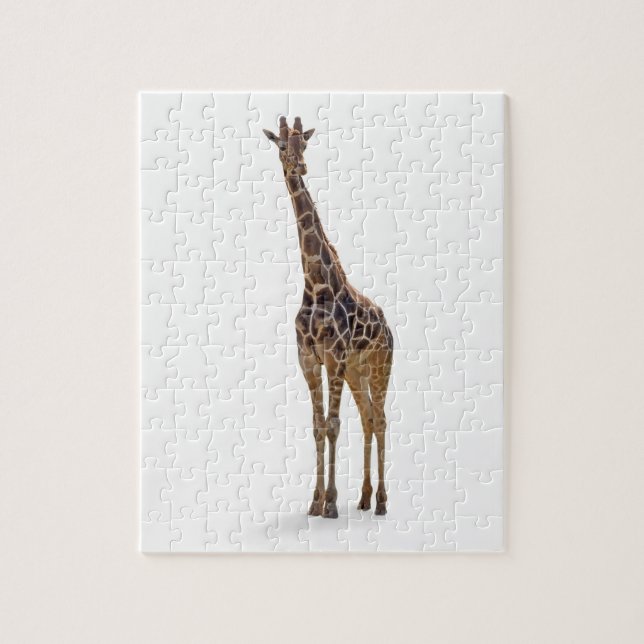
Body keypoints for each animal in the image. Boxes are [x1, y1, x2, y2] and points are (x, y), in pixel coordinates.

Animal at [263, 116, 394, 518]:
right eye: (281, 146)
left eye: (304, 145)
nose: (299, 167)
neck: (316, 283)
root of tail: (389, 328)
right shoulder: (309, 359)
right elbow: (318, 426)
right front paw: (315, 501)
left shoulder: (333, 357)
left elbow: (333, 425)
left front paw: (332, 503)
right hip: (357, 371)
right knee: (368, 418)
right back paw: (365, 498)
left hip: (380, 366)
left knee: (381, 420)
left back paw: (382, 502)